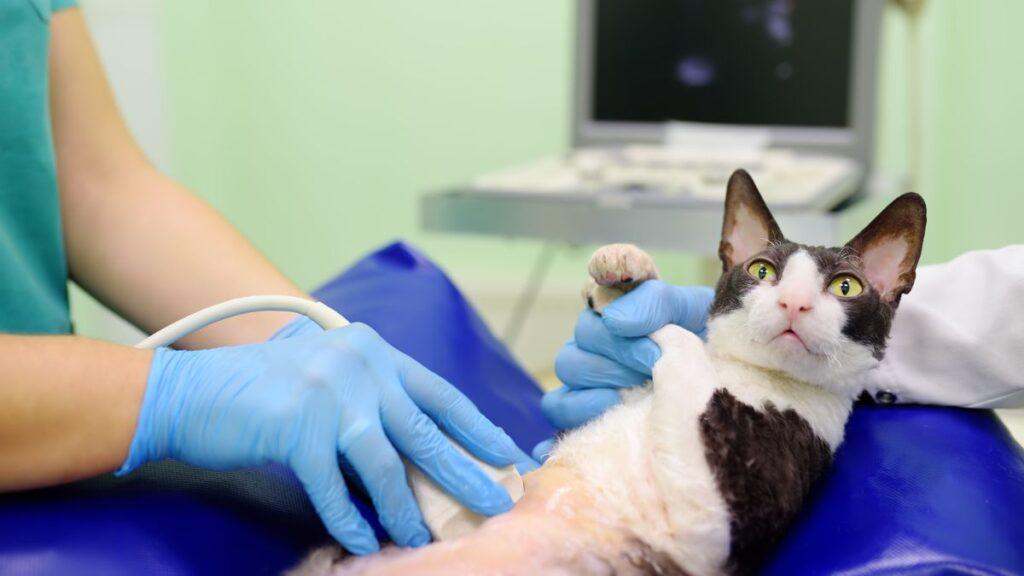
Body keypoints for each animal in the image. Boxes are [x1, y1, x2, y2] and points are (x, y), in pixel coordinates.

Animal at [294, 169, 929, 573]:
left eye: (844, 287)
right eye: (762, 271)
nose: (793, 303)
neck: (748, 376)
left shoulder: (709, 531)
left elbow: (685, 355)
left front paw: (670, 330)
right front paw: (623, 270)